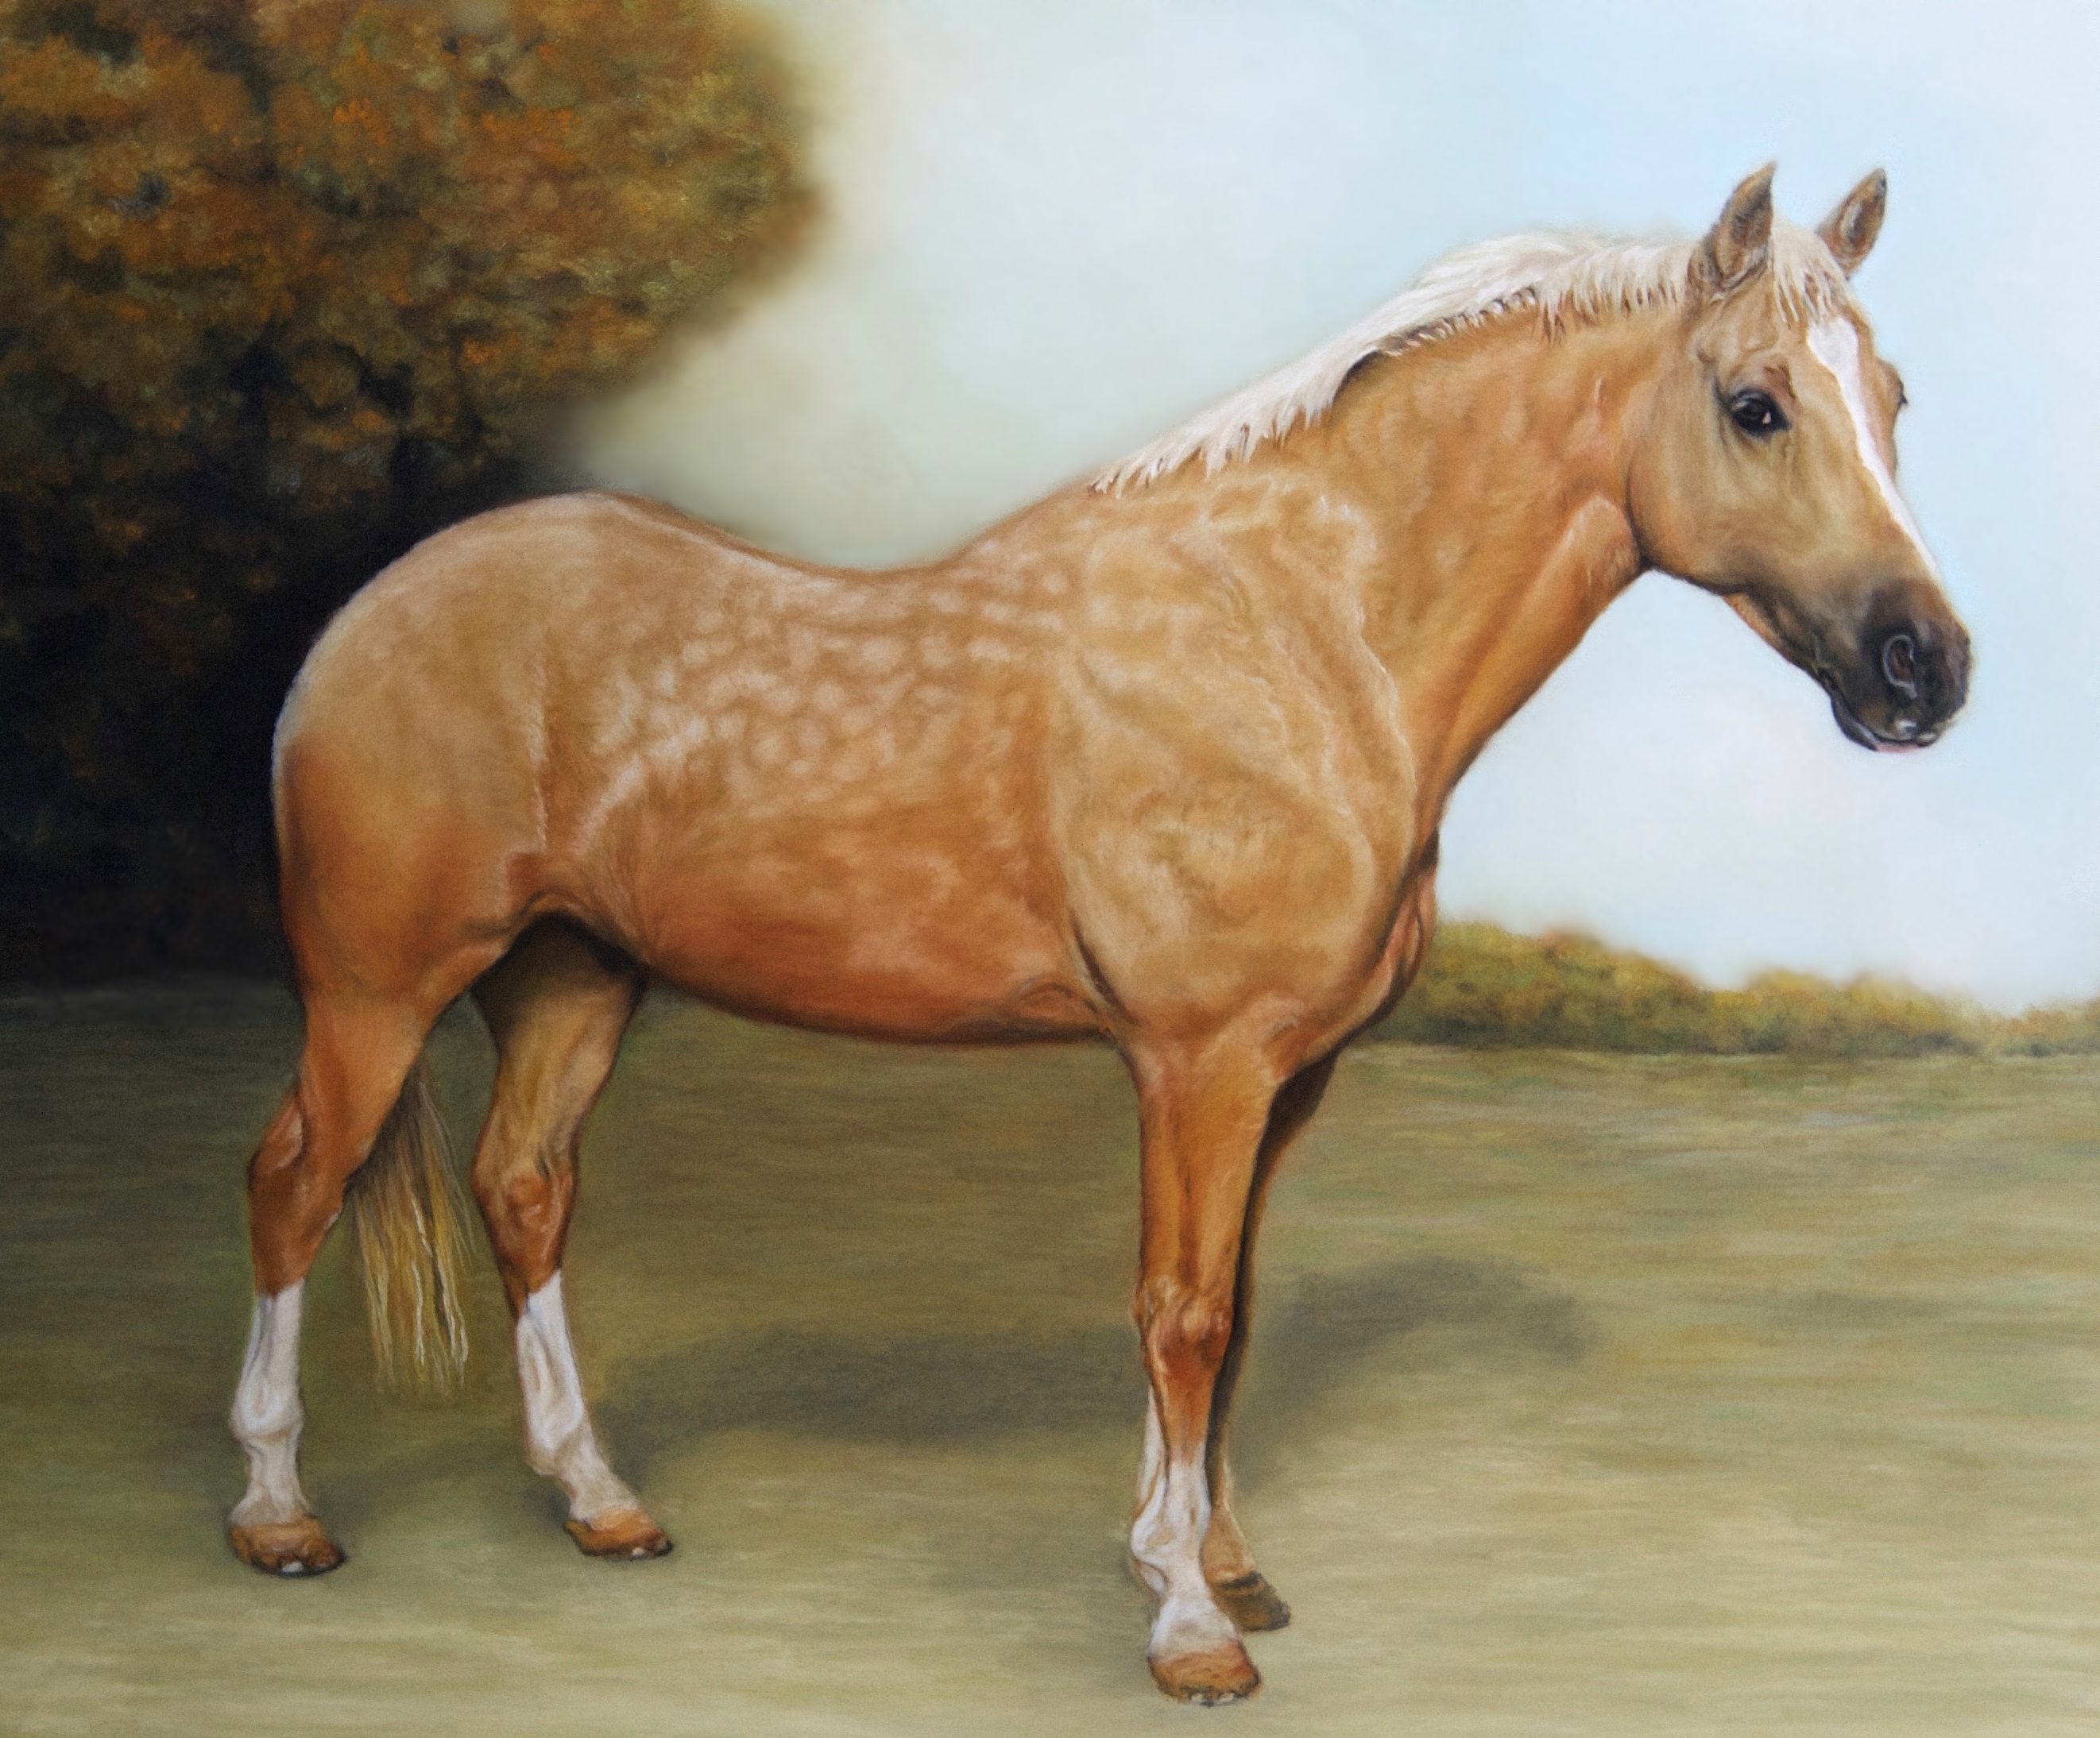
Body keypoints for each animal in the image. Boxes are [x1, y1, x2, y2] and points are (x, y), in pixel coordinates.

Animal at [226, 165, 1968, 1704]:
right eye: (1754, 404)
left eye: (1889, 395)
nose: (1923, 669)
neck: (1305, 638)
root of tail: (357, 621)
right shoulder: (1197, 1062)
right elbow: (1181, 1314)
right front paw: (1191, 1626)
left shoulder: (1281, 1075)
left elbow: (1230, 1308)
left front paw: (1210, 1558)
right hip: (378, 987)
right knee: (297, 1179)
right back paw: (278, 1514)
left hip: (574, 976)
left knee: (522, 1188)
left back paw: (598, 1500)